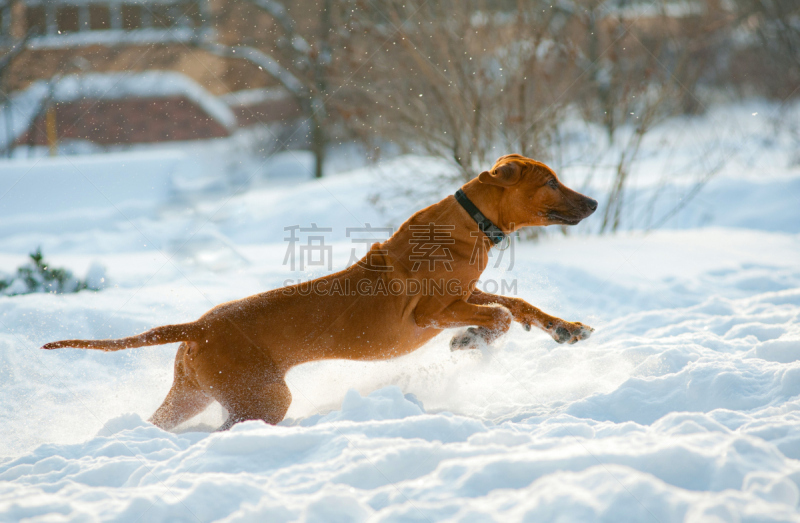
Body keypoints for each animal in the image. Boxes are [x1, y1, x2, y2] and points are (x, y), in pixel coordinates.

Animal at [40, 155, 596, 430]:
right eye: (549, 182)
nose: (592, 203)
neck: (471, 221)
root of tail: (198, 324)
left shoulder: (465, 294)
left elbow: (516, 304)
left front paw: (563, 328)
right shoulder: (429, 313)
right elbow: (498, 314)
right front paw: (473, 341)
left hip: (192, 392)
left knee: (163, 419)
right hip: (262, 397)